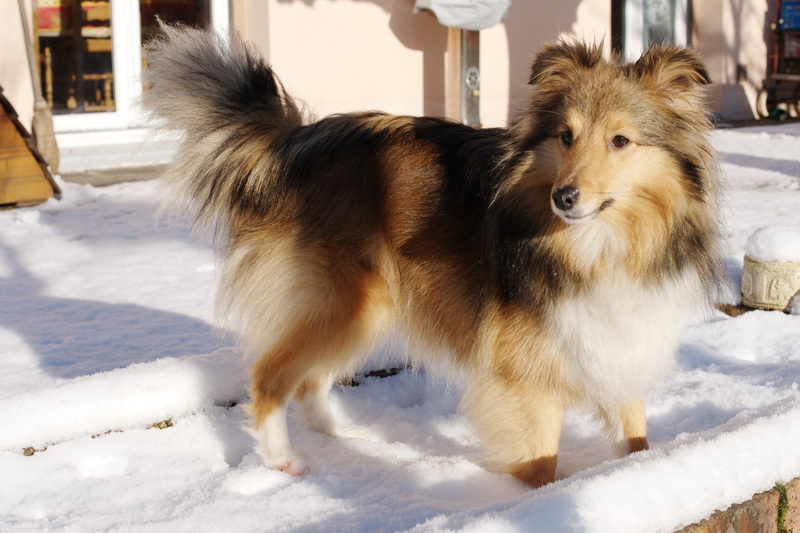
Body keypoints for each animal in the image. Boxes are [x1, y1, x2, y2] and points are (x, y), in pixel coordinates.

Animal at [142, 26, 724, 490]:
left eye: (621, 140)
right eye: (566, 136)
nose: (564, 197)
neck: (599, 245)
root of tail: (297, 142)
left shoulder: (615, 339)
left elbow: (635, 432)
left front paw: (641, 473)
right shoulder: (524, 374)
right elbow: (541, 462)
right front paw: (540, 504)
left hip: (359, 310)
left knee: (308, 379)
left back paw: (344, 435)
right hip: (348, 301)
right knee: (270, 377)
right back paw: (283, 459)